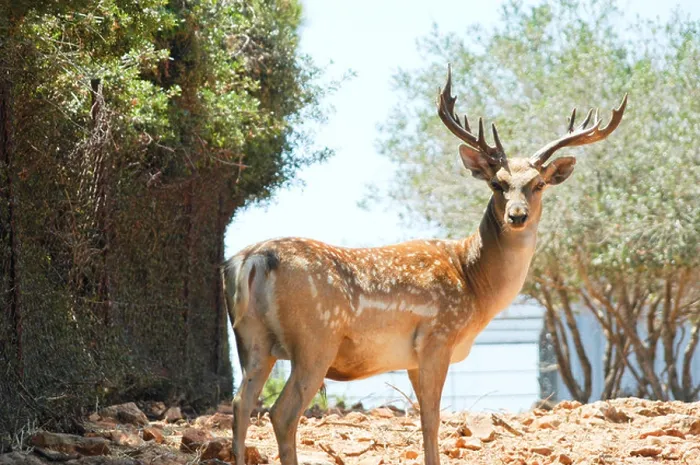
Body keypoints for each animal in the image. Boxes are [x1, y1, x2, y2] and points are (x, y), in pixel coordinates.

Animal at [222, 65, 627, 465]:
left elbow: (424, 419)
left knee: (240, 404)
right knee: (281, 413)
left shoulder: (413, 357)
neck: (473, 283)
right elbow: (432, 420)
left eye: (539, 184)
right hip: (315, 338)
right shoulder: (437, 337)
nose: (517, 215)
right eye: (497, 183)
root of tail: (253, 260)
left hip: (252, 341)